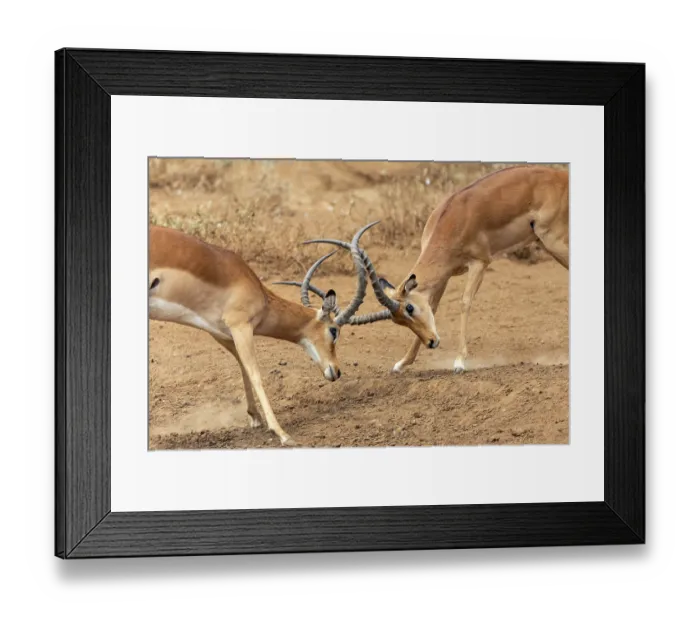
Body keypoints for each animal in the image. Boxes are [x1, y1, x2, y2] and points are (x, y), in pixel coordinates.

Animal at [148, 225, 369, 446]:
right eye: (334, 330)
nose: (336, 371)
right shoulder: (241, 326)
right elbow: (255, 374)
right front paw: (282, 433)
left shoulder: (221, 333)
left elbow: (243, 368)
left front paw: (254, 417)